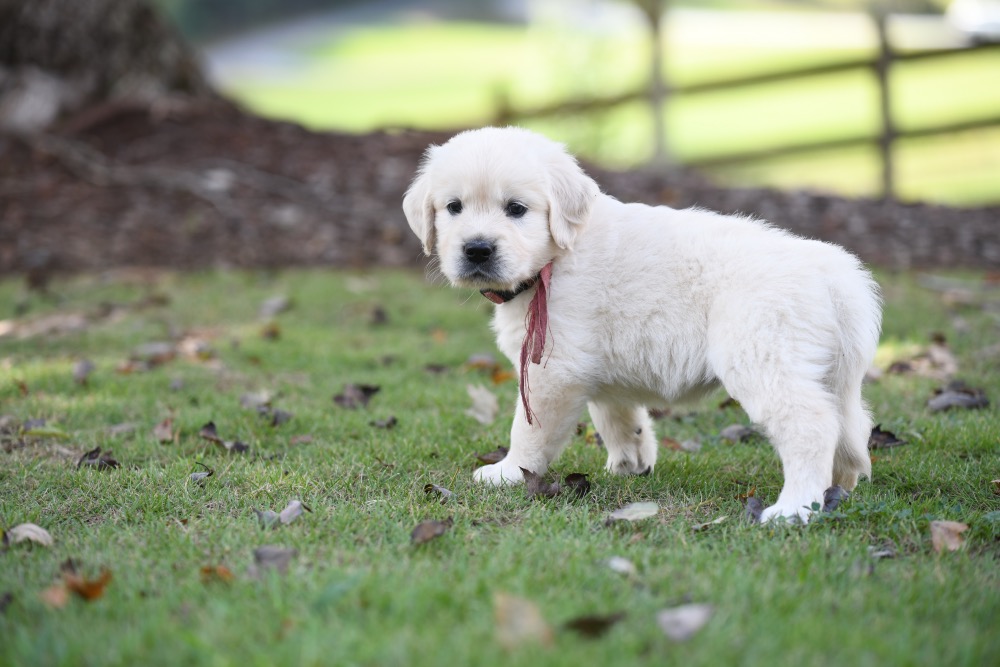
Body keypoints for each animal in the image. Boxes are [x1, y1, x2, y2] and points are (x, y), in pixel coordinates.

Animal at [402, 125, 880, 520]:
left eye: (516, 209)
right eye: (453, 207)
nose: (477, 249)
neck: (558, 255)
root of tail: (833, 272)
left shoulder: (552, 369)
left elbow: (530, 431)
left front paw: (507, 473)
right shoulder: (595, 364)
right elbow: (617, 416)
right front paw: (630, 464)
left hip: (764, 356)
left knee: (810, 424)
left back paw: (795, 508)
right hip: (830, 372)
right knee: (851, 427)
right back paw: (839, 486)